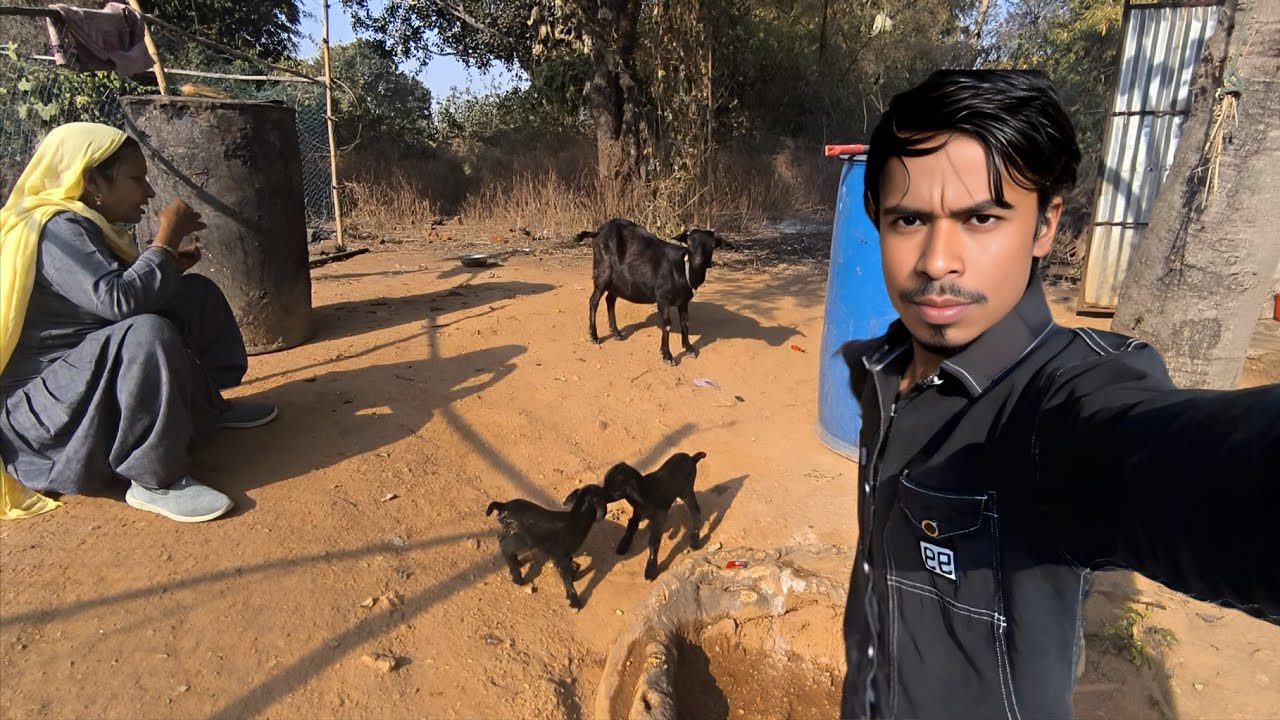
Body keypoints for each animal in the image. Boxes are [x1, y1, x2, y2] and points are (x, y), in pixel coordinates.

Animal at [575, 219, 735, 366]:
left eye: (713, 245)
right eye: (689, 241)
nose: (698, 261)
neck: (683, 269)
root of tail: (598, 231)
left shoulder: (683, 300)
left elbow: (685, 322)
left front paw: (689, 348)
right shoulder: (663, 298)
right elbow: (666, 324)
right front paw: (667, 356)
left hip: (617, 282)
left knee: (610, 300)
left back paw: (616, 332)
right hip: (602, 273)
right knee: (594, 301)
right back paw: (594, 336)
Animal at [602, 451, 707, 581]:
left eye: (612, 490)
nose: (597, 494)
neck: (645, 490)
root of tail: (692, 458)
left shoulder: (659, 517)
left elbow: (653, 541)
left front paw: (651, 569)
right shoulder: (638, 512)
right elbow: (631, 525)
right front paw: (623, 545)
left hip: (687, 491)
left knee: (695, 513)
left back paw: (695, 541)